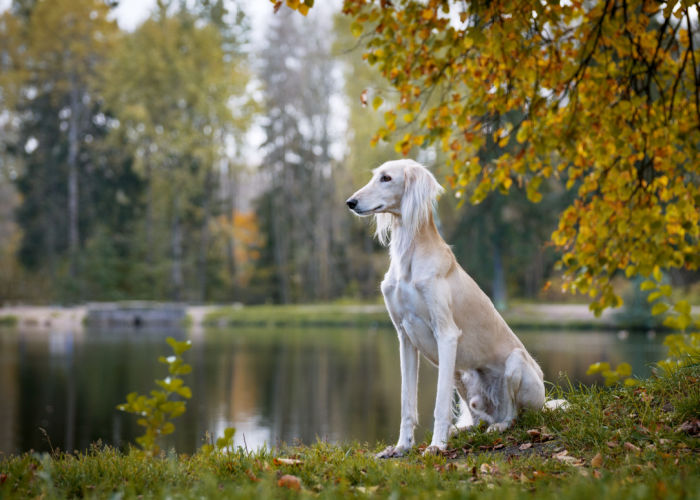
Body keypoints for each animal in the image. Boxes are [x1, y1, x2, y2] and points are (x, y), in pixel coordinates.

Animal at [348, 159, 548, 458]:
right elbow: (407, 402)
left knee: (512, 414)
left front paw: (436, 445)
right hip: (462, 373)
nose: (350, 202)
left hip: (514, 365)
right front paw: (402, 446)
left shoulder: (446, 335)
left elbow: (440, 404)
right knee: (477, 418)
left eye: (386, 178)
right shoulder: (404, 338)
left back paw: (497, 427)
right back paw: (463, 430)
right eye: (376, 176)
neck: (409, 258)